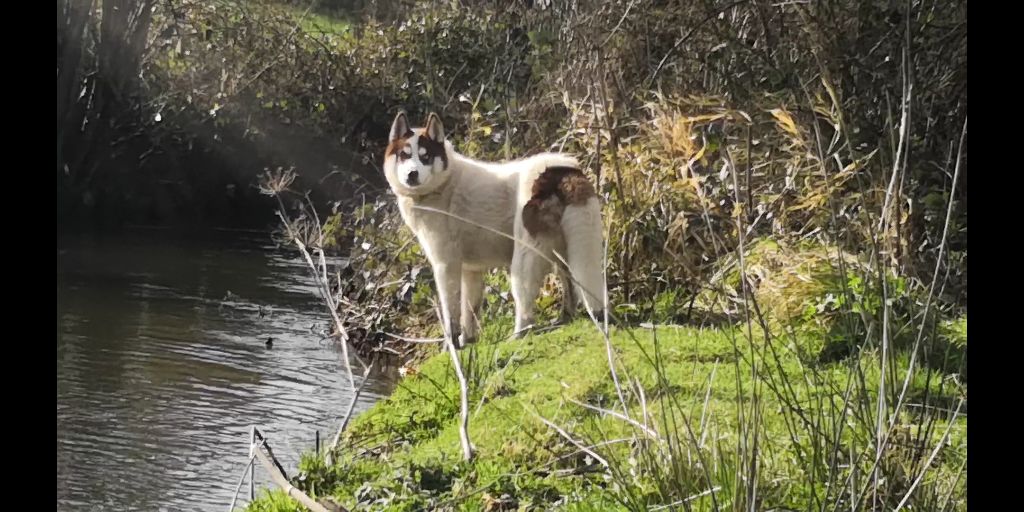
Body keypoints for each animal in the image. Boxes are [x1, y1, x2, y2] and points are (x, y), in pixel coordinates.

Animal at [385, 112, 606, 348]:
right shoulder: (471, 271)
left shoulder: (446, 266)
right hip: (562, 252)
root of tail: (562, 170)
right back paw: (564, 318)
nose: (412, 174)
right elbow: (469, 311)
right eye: (404, 155)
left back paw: (518, 335)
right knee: (570, 286)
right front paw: (468, 341)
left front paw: (452, 346)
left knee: (526, 308)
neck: (442, 185)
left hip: (524, 260)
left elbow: (451, 314)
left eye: (425, 157)